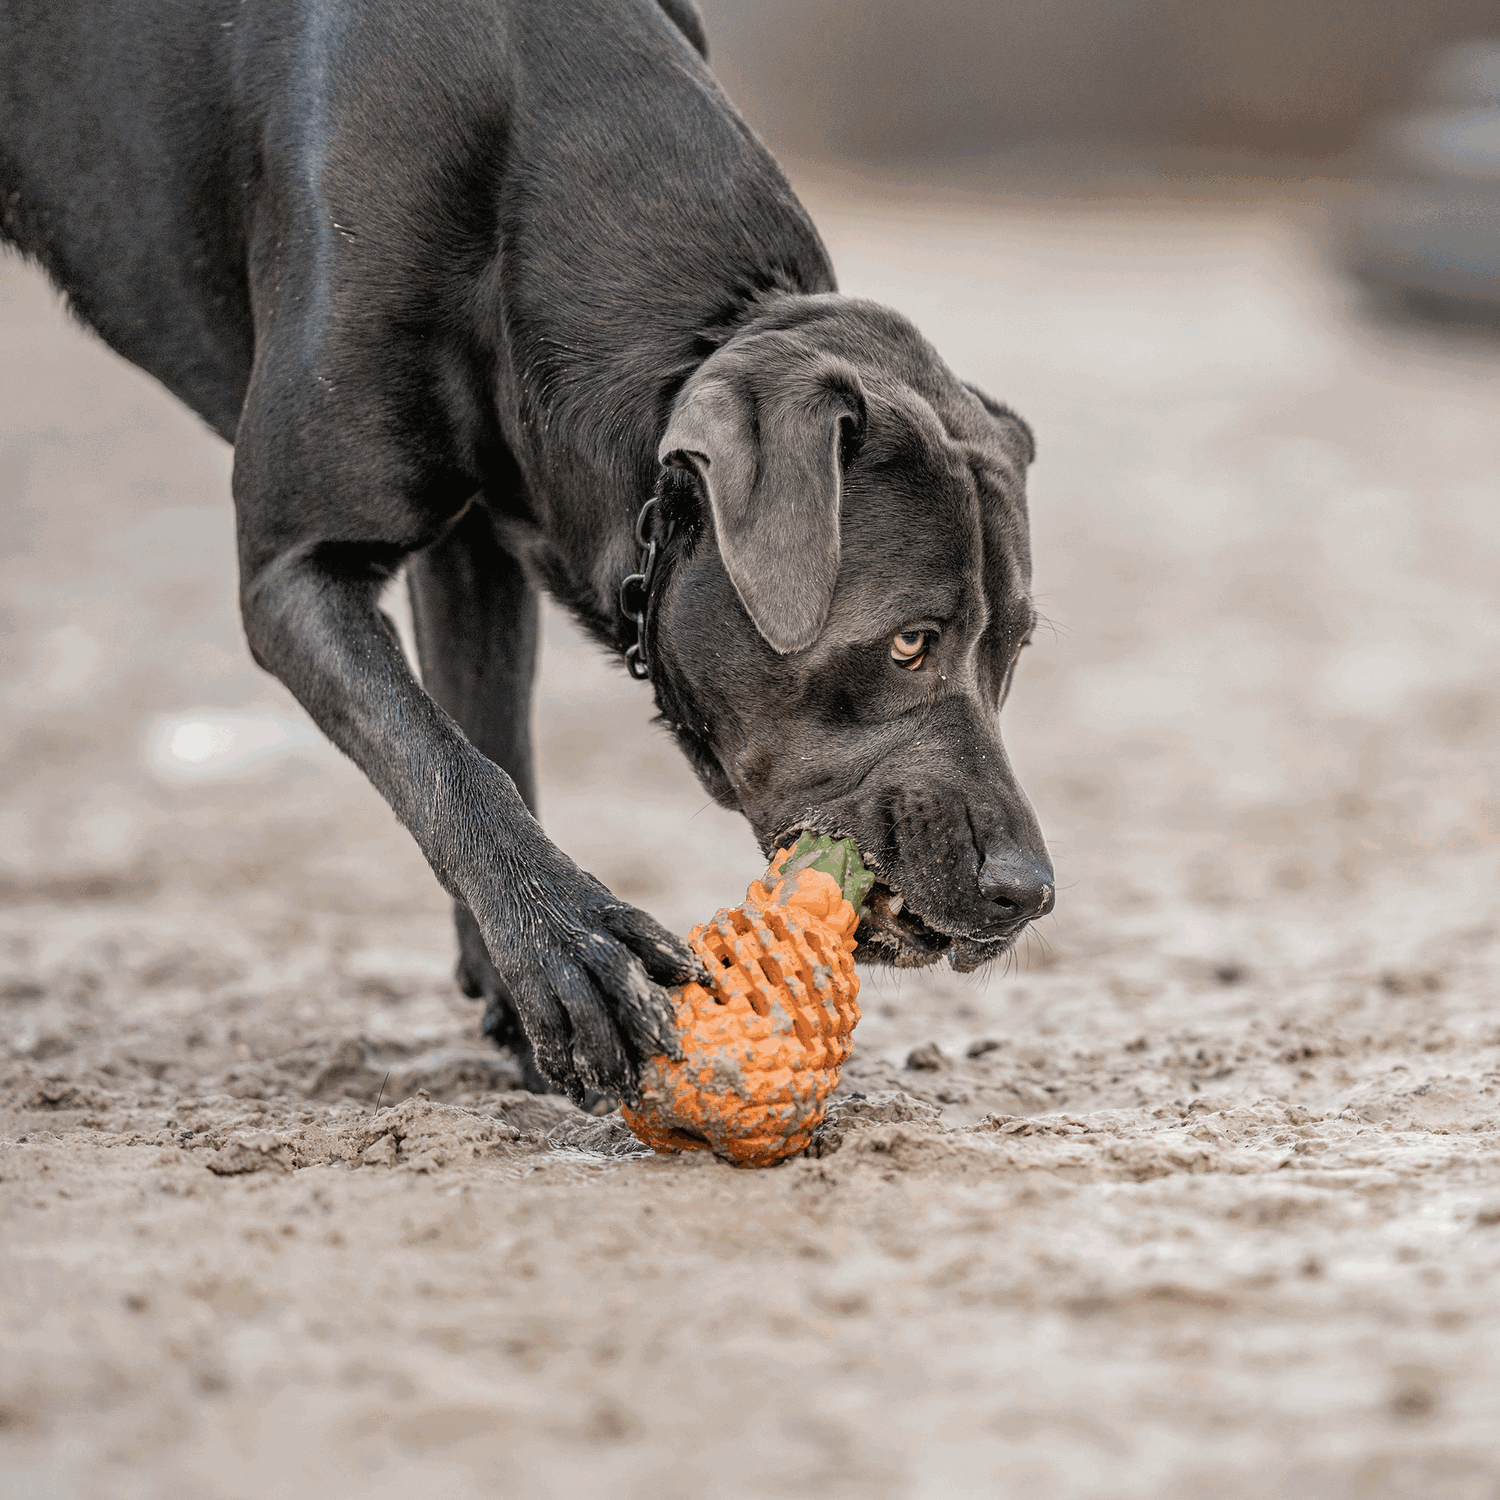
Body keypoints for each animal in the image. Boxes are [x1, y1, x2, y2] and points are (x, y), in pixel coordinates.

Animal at [0, 0, 1056, 1104]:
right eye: (908, 642)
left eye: (1012, 652)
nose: (1028, 892)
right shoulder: (296, 565)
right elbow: (443, 761)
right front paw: (573, 950)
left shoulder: (477, 544)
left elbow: (485, 734)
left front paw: (521, 992)